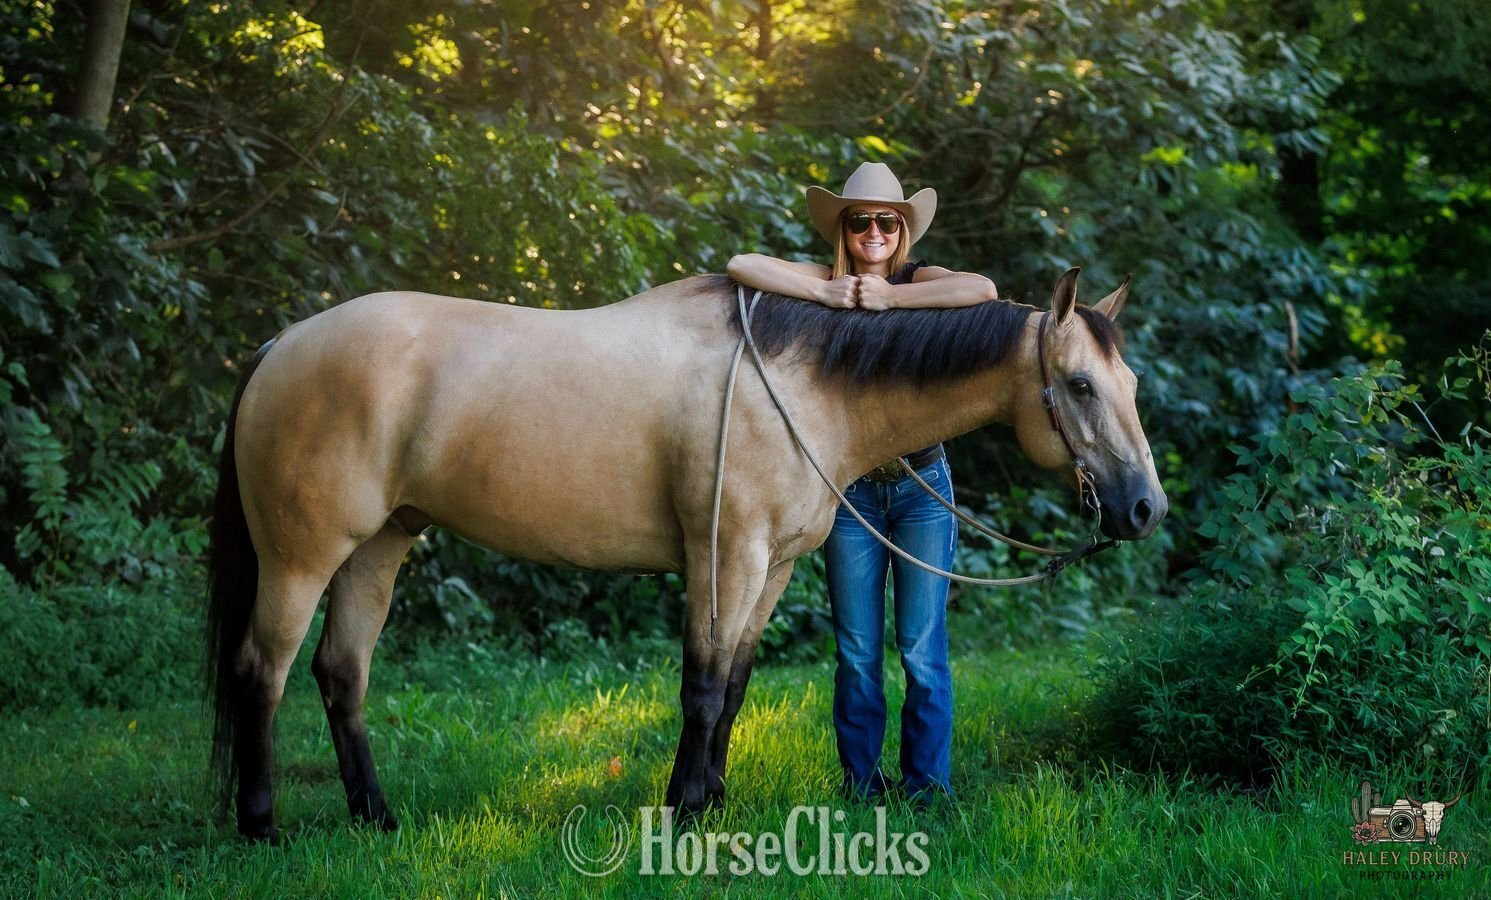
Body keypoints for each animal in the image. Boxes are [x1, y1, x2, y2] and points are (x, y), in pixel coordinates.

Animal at [206, 267, 1166, 842]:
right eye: (1079, 385)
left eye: (1128, 384)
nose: (1144, 508)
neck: (802, 386)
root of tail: (280, 345)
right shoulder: (725, 557)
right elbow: (701, 687)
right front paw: (680, 811)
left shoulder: (772, 568)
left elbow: (734, 685)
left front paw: (713, 798)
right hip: (302, 558)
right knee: (261, 672)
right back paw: (260, 825)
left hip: (379, 546)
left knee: (341, 674)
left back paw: (376, 817)